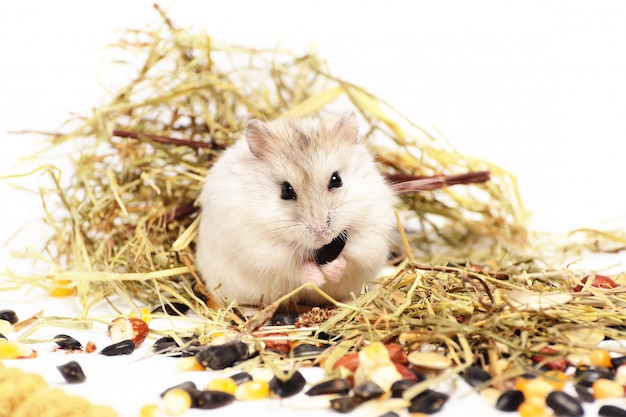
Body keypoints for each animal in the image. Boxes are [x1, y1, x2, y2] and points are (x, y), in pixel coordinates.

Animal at [195, 110, 394, 306]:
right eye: (286, 190)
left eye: (336, 179)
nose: (323, 236)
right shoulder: (263, 251)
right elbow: (295, 268)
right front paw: (318, 278)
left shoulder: (370, 234)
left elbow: (350, 257)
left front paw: (331, 271)